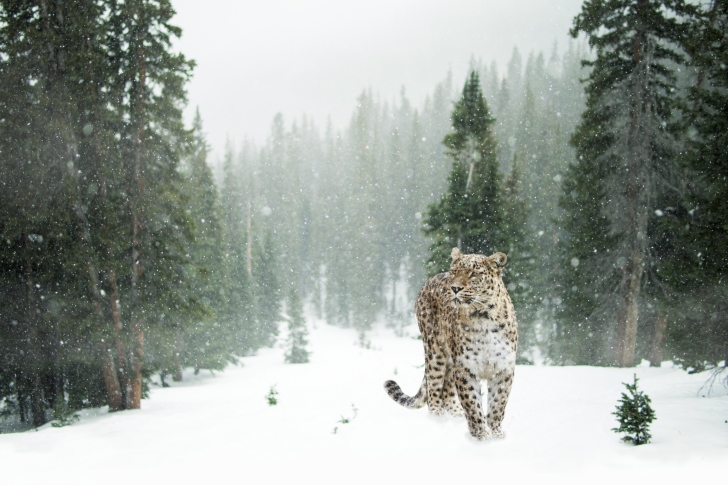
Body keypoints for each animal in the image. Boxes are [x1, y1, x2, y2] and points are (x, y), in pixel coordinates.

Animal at [386, 248, 516, 436]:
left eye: (474, 273)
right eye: (455, 272)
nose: (455, 288)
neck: (483, 317)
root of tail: (430, 279)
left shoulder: (503, 368)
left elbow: (497, 405)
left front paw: (496, 435)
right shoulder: (465, 368)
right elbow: (473, 405)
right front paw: (481, 436)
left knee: (447, 390)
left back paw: (456, 416)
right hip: (435, 351)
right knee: (434, 389)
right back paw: (438, 421)